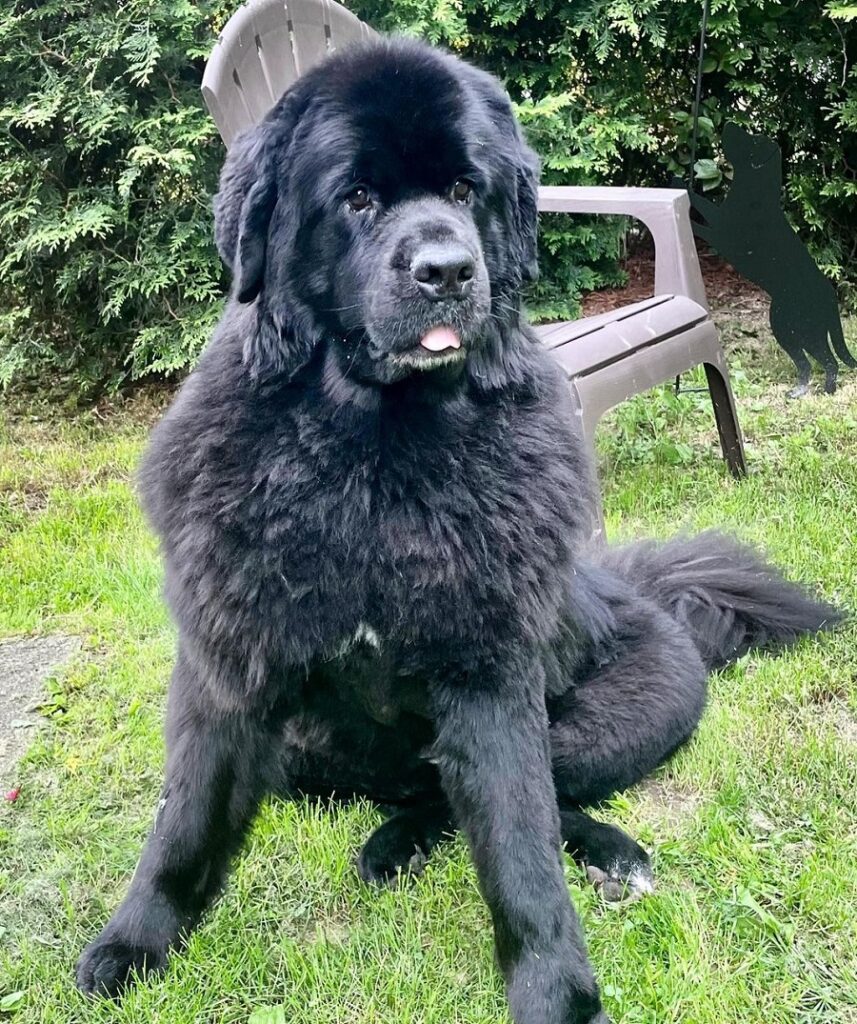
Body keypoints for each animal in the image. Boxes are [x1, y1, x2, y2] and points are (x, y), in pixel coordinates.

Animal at [76, 36, 839, 1024]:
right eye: (357, 197)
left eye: (466, 190)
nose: (444, 268)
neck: (373, 450)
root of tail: (633, 585)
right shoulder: (229, 664)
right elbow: (184, 817)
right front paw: (135, 942)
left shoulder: (489, 677)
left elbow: (518, 840)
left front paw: (554, 990)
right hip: (302, 748)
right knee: (419, 789)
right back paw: (390, 843)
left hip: (616, 717)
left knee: (519, 795)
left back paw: (599, 854)